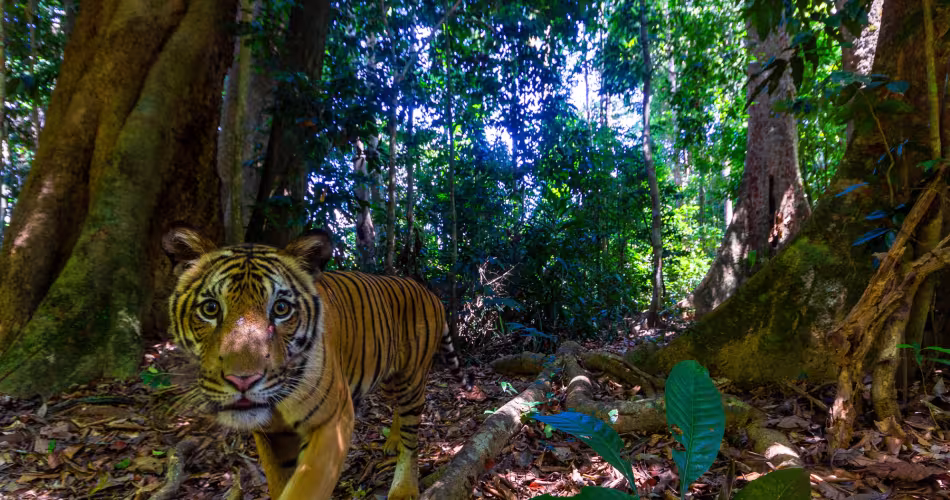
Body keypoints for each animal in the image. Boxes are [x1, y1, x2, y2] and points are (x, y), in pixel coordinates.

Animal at [162, 226, 463, 500]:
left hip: (412, 379)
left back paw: (403, 488)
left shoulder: (333, 420)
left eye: (281, 309)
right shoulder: (269, 434)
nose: (242, 380)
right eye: (210, 308)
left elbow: (305, 487)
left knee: (412, 439)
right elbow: (278, 482)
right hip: (389, 377)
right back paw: (392, 442)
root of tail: (427, 291)